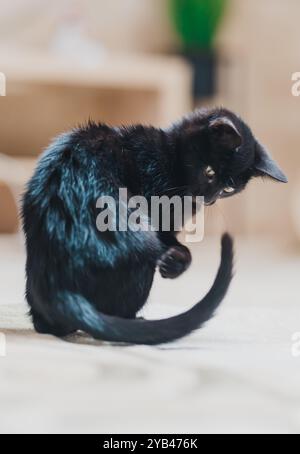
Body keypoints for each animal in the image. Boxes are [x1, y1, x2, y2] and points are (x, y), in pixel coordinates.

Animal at [22, 108, 288, 346]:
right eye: (210, 172)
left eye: (228, 189)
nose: (210, 199)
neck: (171, 159)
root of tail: (57, 282)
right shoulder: (157, 215)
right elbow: (174, 245)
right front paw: (175, 261)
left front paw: (174, 262)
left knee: (44, 324)